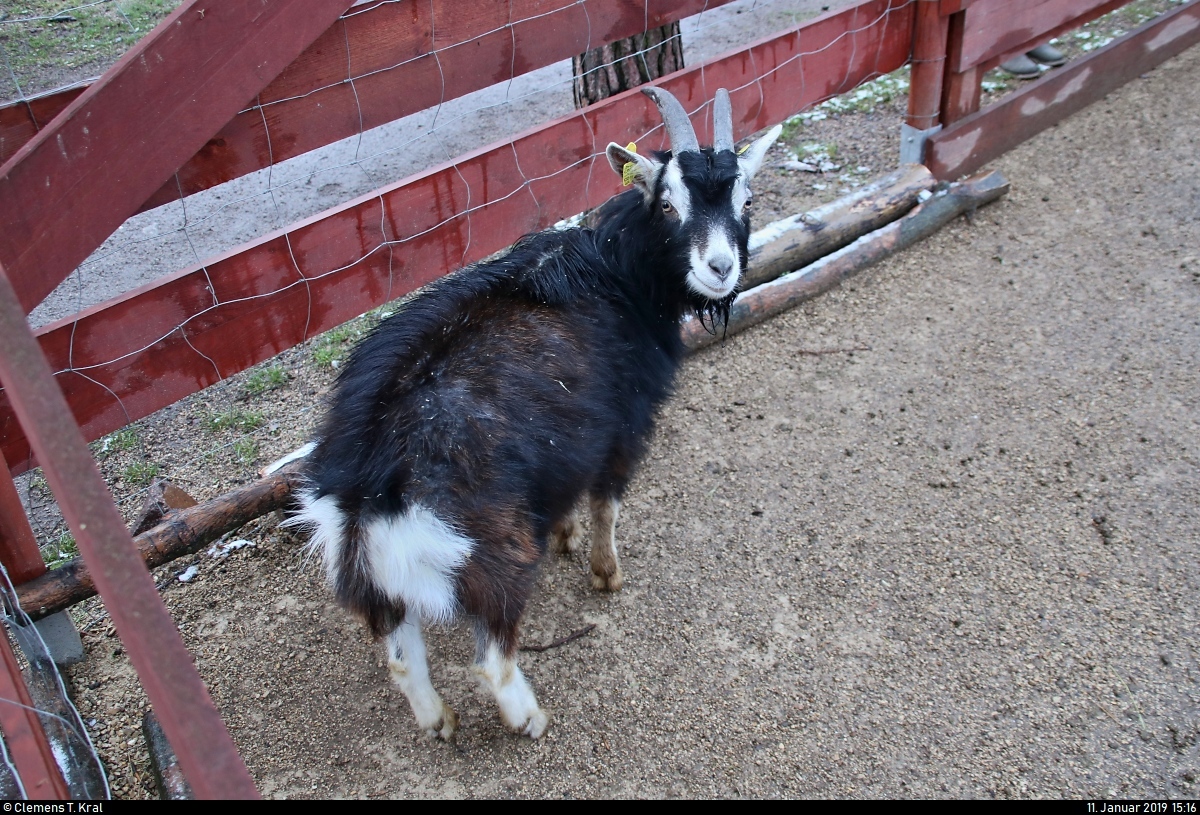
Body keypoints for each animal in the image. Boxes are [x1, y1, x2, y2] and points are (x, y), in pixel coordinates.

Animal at [286, 87, 782, 739]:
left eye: (746, 199)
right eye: (668, 204)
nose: (720, 268)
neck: (616, 274)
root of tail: (367, 480)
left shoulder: (570, 442)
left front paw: (566, 536)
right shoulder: (624, 426)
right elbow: (607, 504)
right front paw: (604, 572)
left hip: (375, 579)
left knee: (400, 655)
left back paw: (439, 720)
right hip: (495, 551)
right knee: (492, 657)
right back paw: (529, 717)